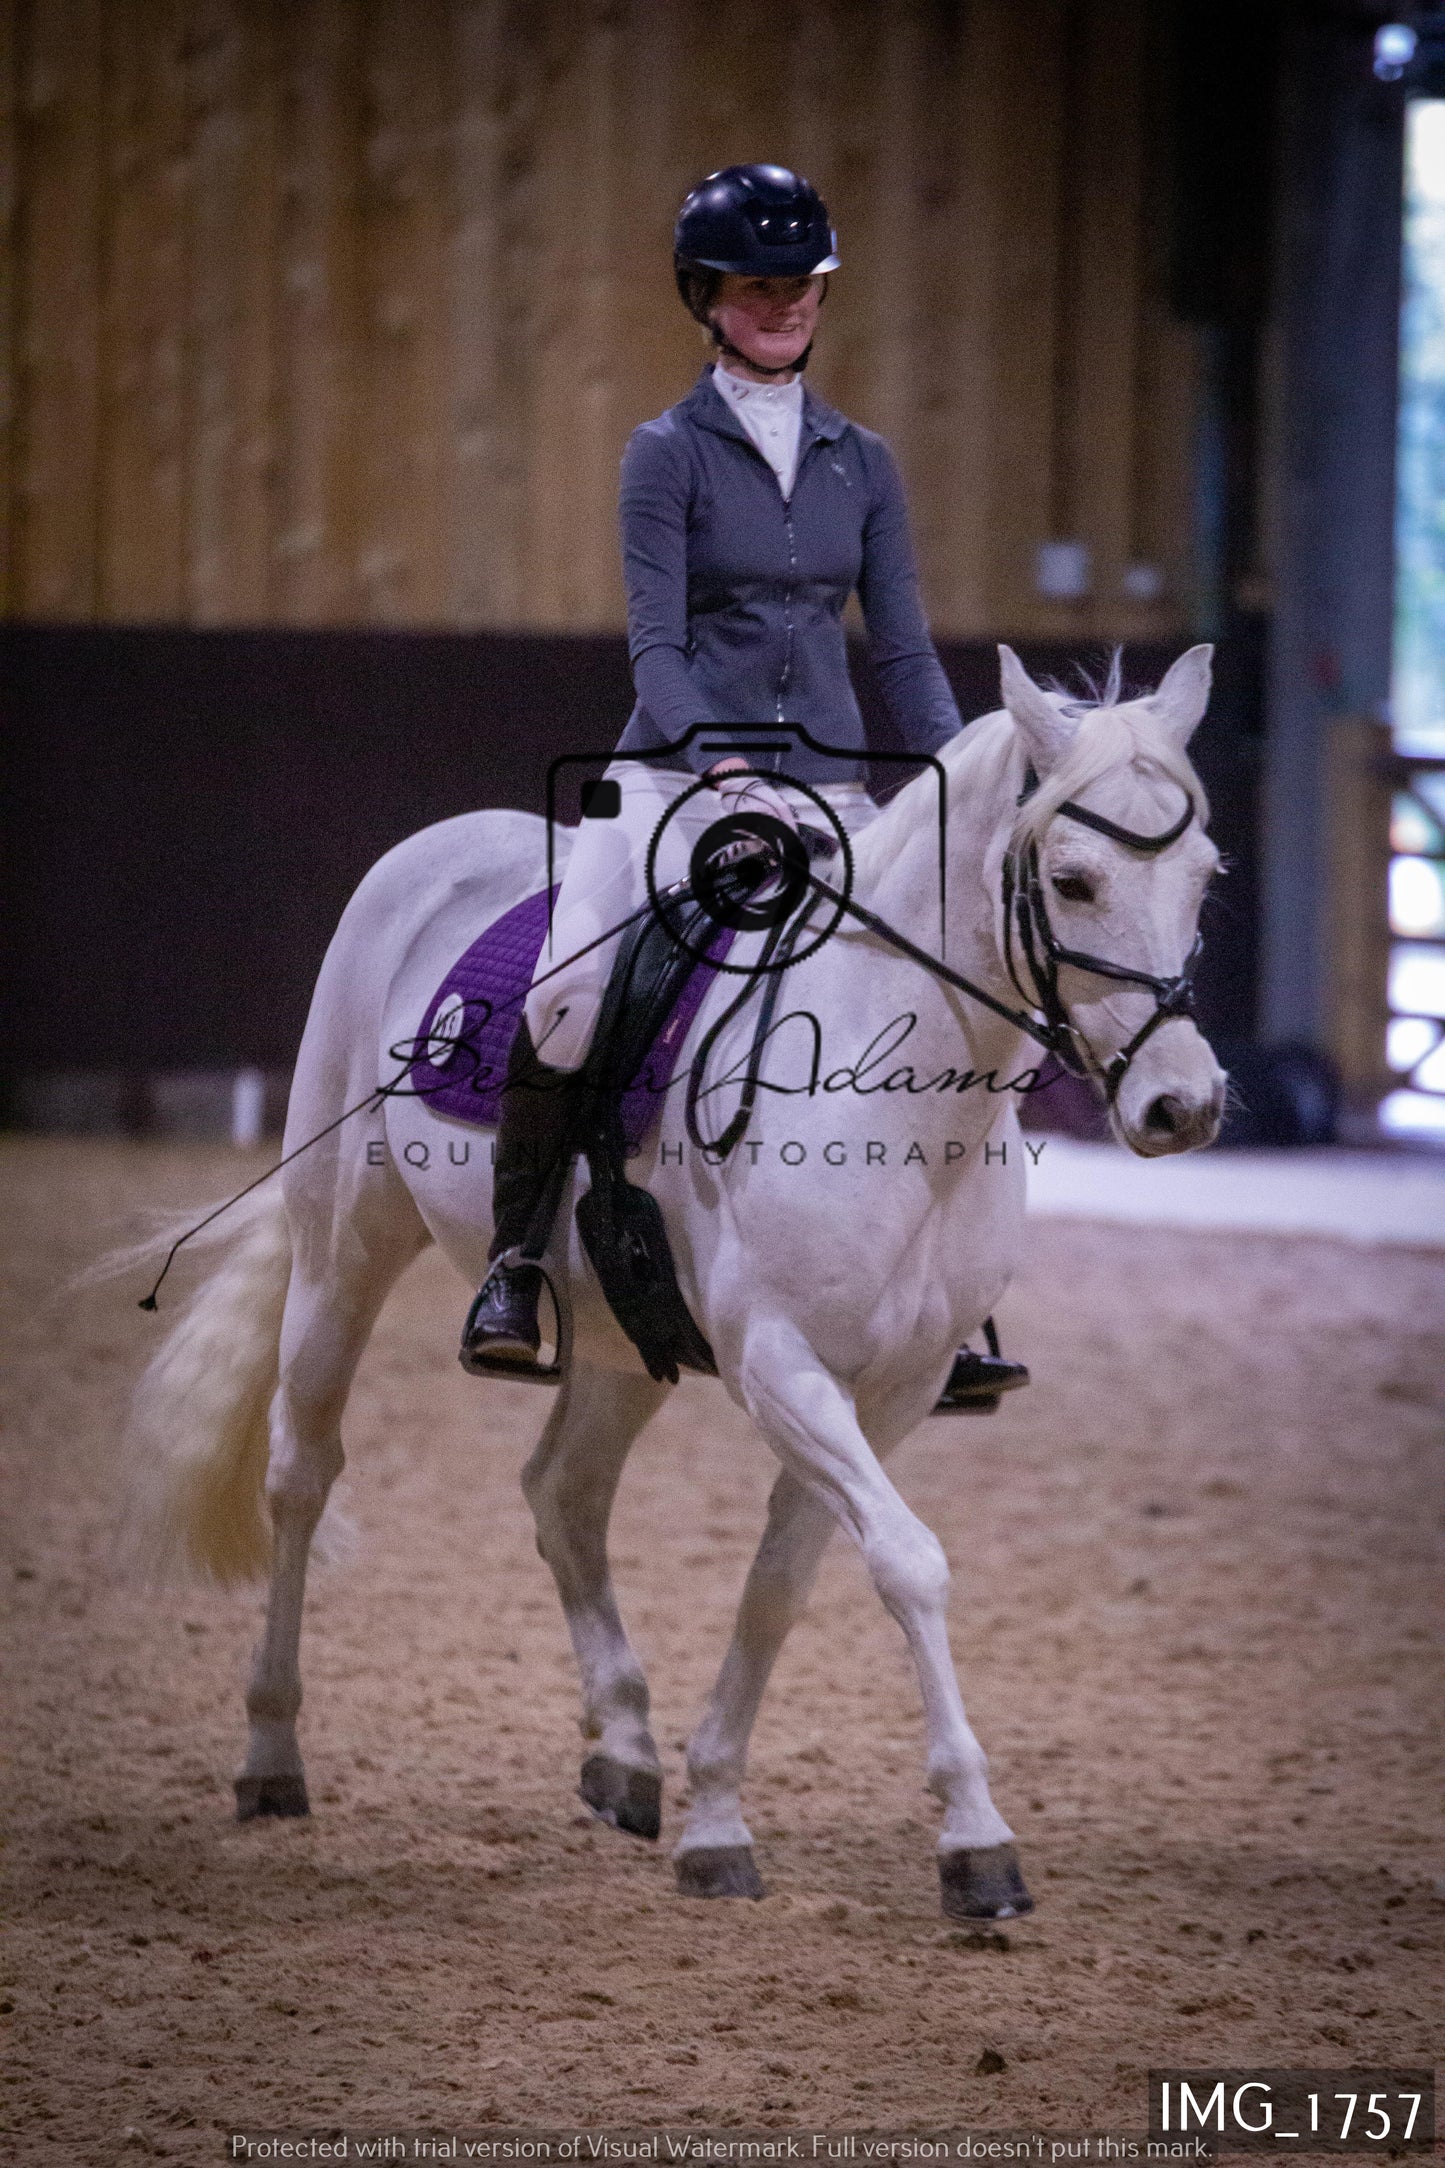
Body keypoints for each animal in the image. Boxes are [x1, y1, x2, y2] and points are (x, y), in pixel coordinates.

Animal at [129, 637, 1230, 1916]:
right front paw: (974, 1839)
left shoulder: (890, 1391)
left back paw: (624, 1755)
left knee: (562, 1491)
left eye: (1201, 874)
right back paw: (271, 1756)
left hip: (617, 1334)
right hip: (343, 1247)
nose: (1182, 1105)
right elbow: (909, 1561)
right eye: (1071, 879)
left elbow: (782, 1583)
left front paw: (714, 1818)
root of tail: (436, 849)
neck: (909, 1097)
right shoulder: (778, 1364)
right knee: (301, 1470)